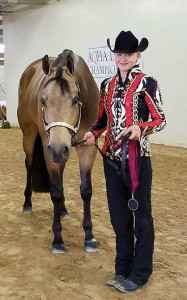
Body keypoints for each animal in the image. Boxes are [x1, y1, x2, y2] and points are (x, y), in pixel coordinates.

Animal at [16, 49, 100, 253]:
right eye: (43, 100)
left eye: (76, 100)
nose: (57, 148)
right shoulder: (50, 149)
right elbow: (55, 191)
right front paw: (58, 239)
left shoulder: (87, 146)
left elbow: (86, 190)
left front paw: (89, 237)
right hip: (30, 136)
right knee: (29, 165)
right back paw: (27, 204)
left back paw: (63, 210)